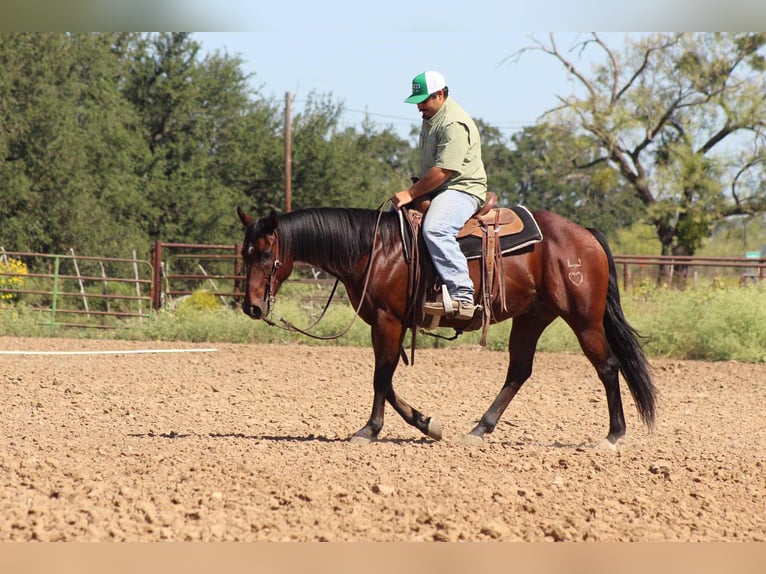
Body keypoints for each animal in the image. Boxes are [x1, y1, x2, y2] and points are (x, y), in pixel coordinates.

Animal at [236, 205, 656, 445]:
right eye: (244, 253)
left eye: (267, 254)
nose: (252, 307)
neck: (375, 249)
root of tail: (584, 234)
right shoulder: (382, 323)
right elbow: (386, 377)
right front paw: (426, 424)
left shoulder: (388, 320)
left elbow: (381, 376)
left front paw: (371, 430)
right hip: (532, 317)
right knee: (519, 371)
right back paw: (479, 430)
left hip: (584, 319)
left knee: (608, 367)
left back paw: (614, 435)